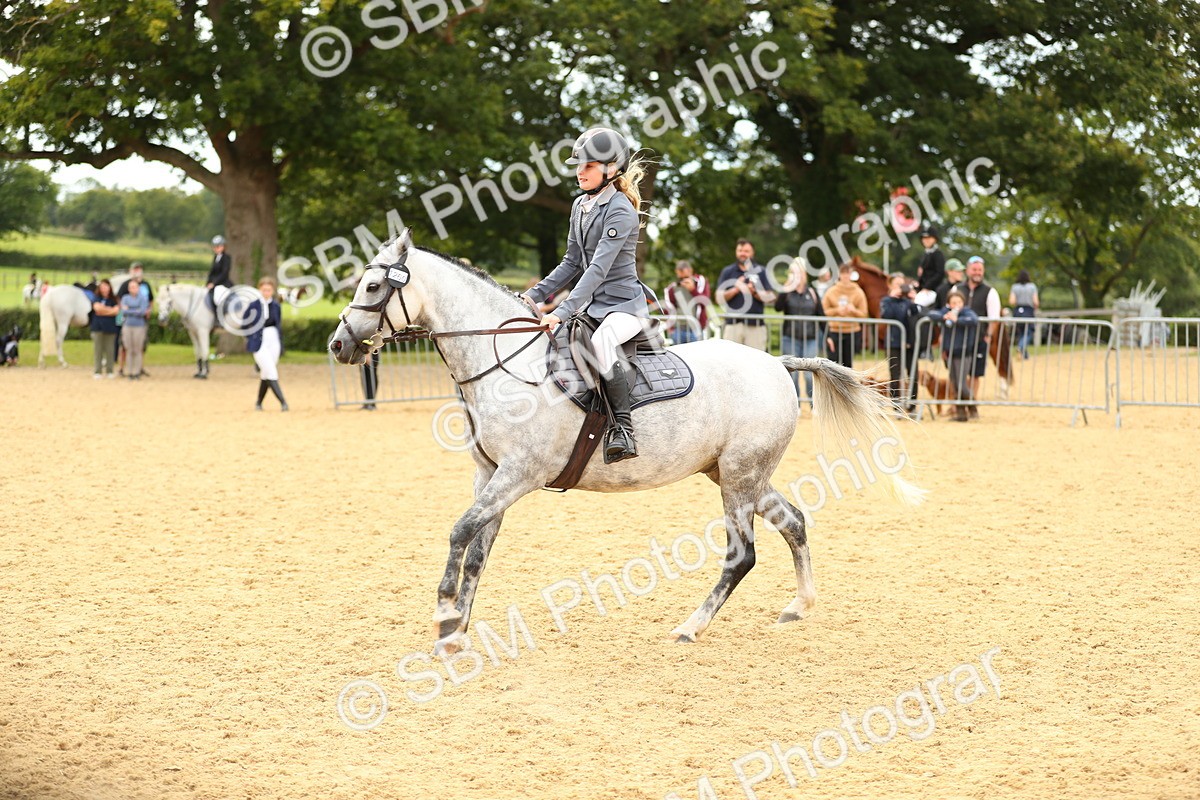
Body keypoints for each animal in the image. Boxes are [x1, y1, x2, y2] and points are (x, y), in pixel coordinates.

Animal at [329, 231, 924, 655]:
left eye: (374, 288)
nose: (338, 344)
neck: (505, 363)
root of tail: (778, 363)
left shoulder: (519, 475)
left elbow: (459, 533)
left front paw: (442, 616)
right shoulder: (489, 475)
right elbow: (477, 549)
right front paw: (456, 630)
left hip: (739, 480)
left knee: (742, 555)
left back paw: (690, 627)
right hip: (740, 475)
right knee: (795, 524)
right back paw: (799, 606)